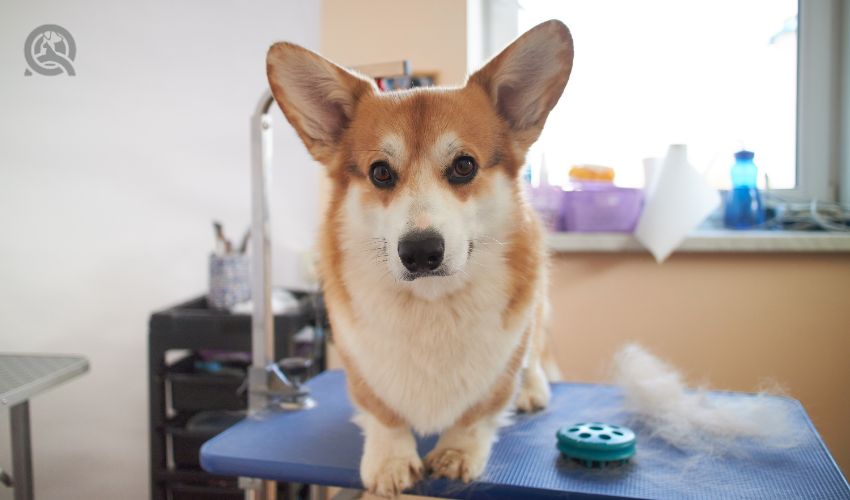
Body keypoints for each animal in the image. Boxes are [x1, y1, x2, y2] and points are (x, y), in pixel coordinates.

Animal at [264, 18, 568, 496]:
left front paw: (458, 451)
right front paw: (390, 460)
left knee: (536, 351)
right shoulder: (357, 359)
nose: (421, 251)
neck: (431, 303)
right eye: (380, 173)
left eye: (464, 166)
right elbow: (382, 413)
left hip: (538, 310)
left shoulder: (504, 357)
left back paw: (533, 389)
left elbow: (480, 410)